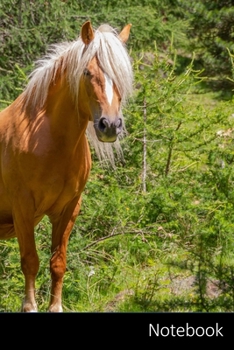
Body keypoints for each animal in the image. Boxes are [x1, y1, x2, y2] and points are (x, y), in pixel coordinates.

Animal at [0, 21, 133, 312]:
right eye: (87, 72)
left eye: (122, 75)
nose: (110, 125)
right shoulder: (23, 208)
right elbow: (30, 261)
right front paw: (30, 306)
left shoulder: (68, 210)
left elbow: (58, 263)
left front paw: (55, 306)